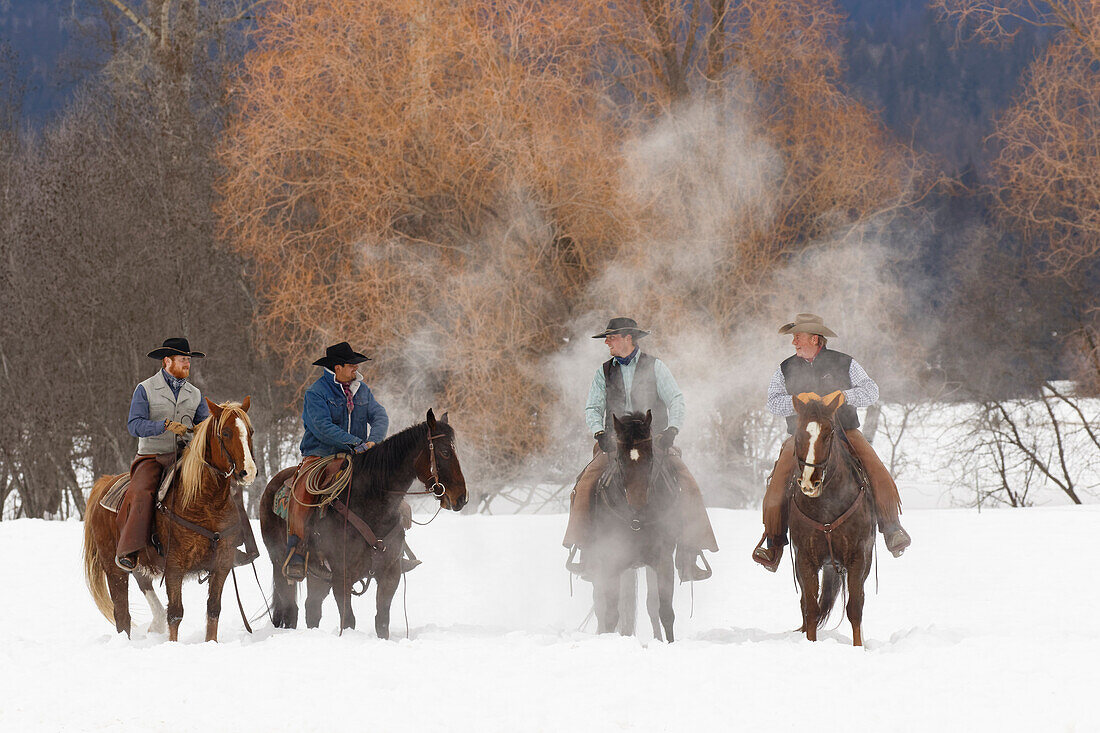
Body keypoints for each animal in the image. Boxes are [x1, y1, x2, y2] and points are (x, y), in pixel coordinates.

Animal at [82, 400, 256, 638]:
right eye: (226, 432)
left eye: (250, 431)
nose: (249, 472)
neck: (205, 502)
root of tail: (104, 483)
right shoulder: (174, 566)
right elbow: (175, 613)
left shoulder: (222, 564)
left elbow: (213, 609)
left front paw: (211, 642)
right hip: (114, 567)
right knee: (122, 614)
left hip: (139, 562)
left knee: (145, 586)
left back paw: (155, 625)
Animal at [258, 407, 468, 638]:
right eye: (445, 452)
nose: (461, 498)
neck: (369, 502)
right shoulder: (341, 576)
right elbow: (348, 620)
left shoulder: (389, 574)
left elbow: (382, 622)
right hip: (280, 563)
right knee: (290, 609)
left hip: (318, 575)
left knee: (311, 608)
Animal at [585, 407, 677, 642]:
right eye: (619, 458)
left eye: (651, 457)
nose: (637, 503)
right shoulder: (611, 559)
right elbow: (610, 613)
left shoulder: (663, 559)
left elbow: (665, 611)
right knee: (602, 605)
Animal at [792, 391, 875, 642]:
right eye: (798, 433)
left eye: (829, 433)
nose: (809, 482)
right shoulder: (804, 559)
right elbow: (810, 609)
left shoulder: (859, 558)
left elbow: (855, 609)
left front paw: (859, 647)